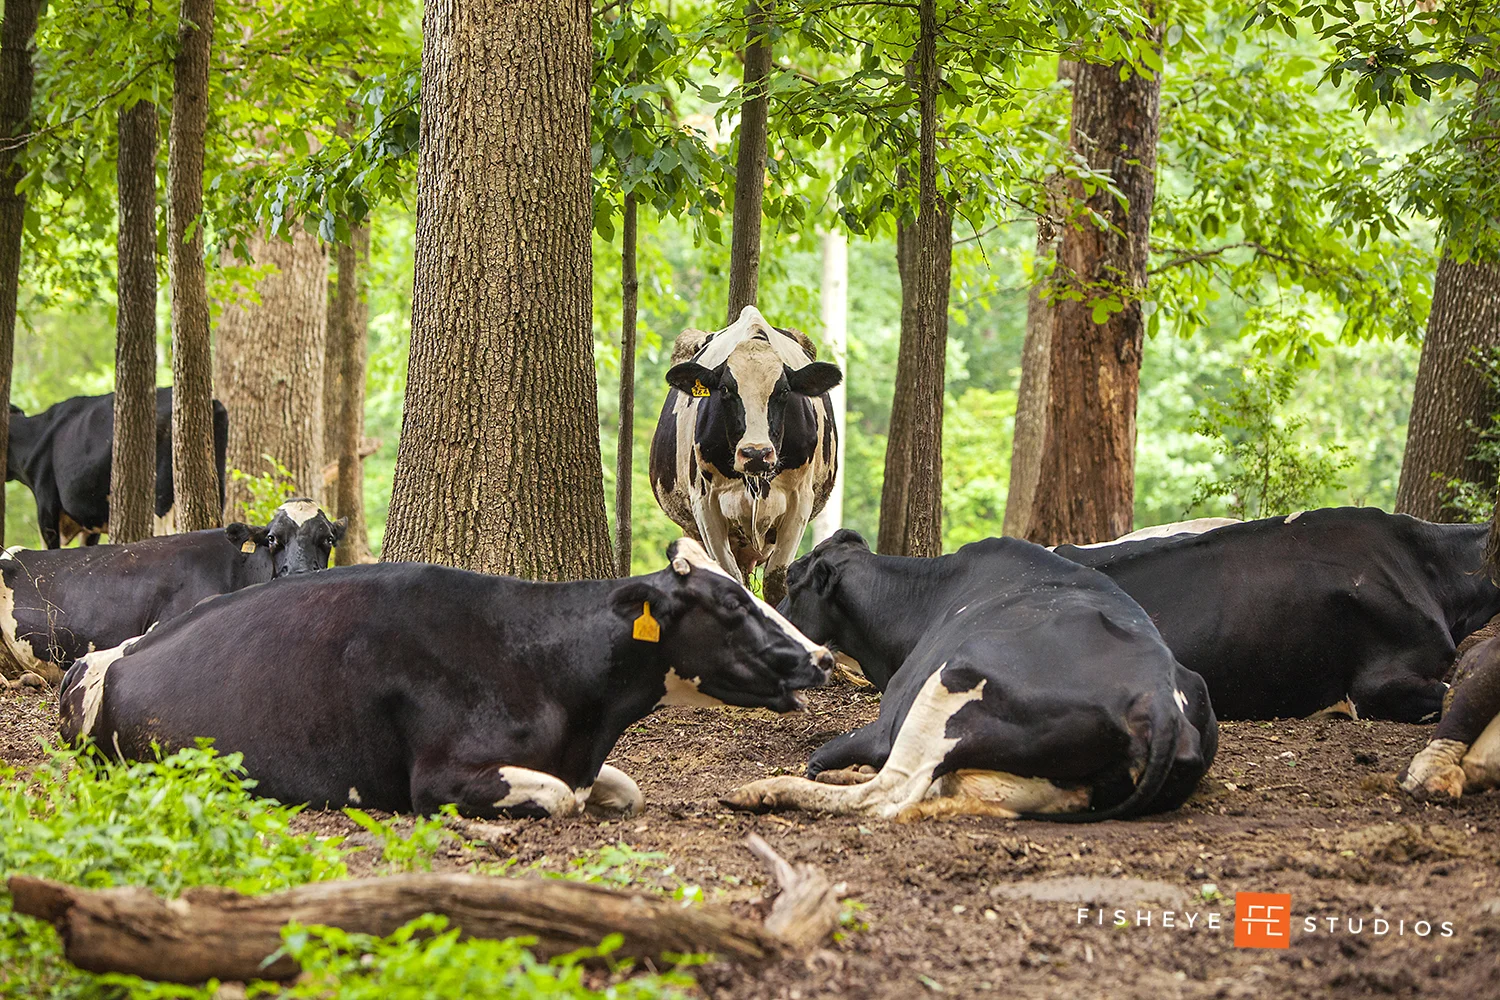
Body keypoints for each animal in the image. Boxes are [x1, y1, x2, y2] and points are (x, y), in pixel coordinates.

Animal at [58, 539, 835, 819]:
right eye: (732, 604)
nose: (823, 657)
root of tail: (125, 650)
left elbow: (623, 788)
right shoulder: (439, 778)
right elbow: (560, 799)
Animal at [649, 305, 842, 605]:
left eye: (784, 391)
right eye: (726, 390)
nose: (756, 453)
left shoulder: (800, 500)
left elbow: (776, 579)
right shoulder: (705, 503)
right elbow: (728, 577)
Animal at [720, 530, 1217, 822]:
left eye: (793, 581)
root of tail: (1158, 695)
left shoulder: (887, 724)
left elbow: (821, 756)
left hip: (948, 687)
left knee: (889, 793)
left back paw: (763, 791)